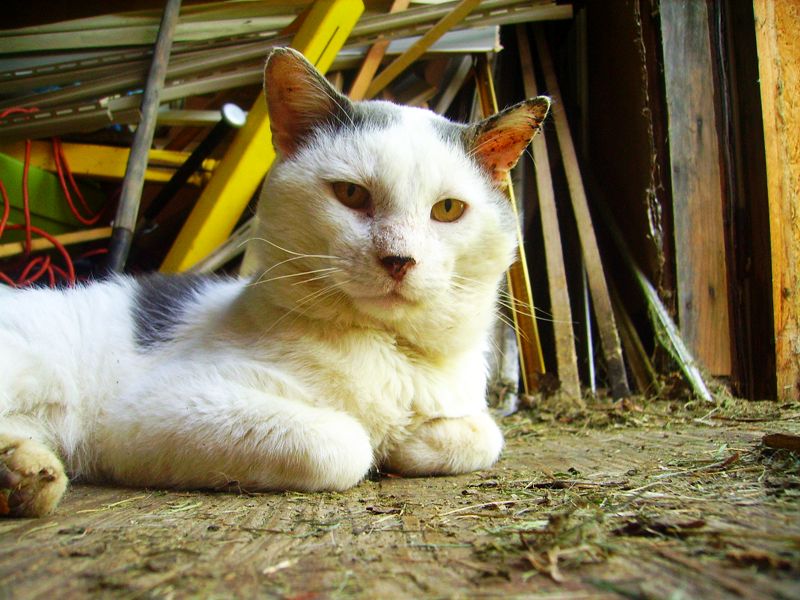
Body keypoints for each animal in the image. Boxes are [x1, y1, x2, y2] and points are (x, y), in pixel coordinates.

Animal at [0, 48, 552, 516]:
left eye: (448, 209)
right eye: (351, 194)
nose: (399, 259)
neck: (390, 350)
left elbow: (485, 434)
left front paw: (411, 441)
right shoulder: (152, 407)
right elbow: (346, 443)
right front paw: (383, 442)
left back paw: (23, 475)